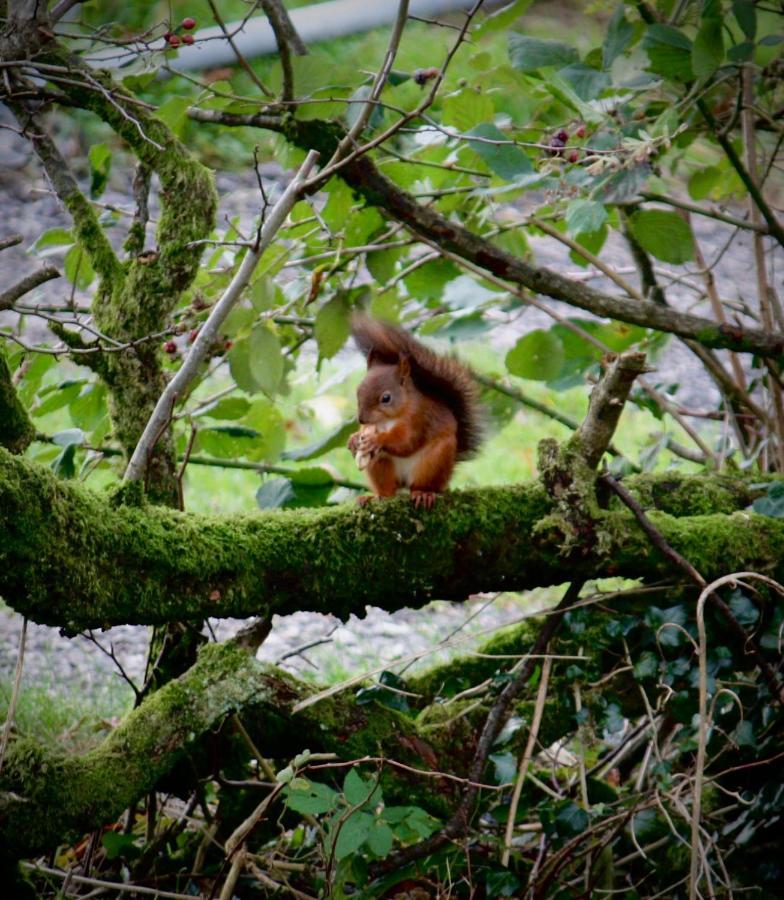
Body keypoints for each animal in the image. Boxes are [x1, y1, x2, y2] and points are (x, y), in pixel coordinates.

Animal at [348, 318, 480, 510]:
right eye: (358, 391)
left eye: (386, 398)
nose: (362, 418)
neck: (387, 420)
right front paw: (353, 439)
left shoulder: (419, 418)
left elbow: (406, 442)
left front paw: (377, 440)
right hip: (381, 465)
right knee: (388, 490)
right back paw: (373, 497)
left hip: (434, 462)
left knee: (421, 484)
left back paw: (423, 493)